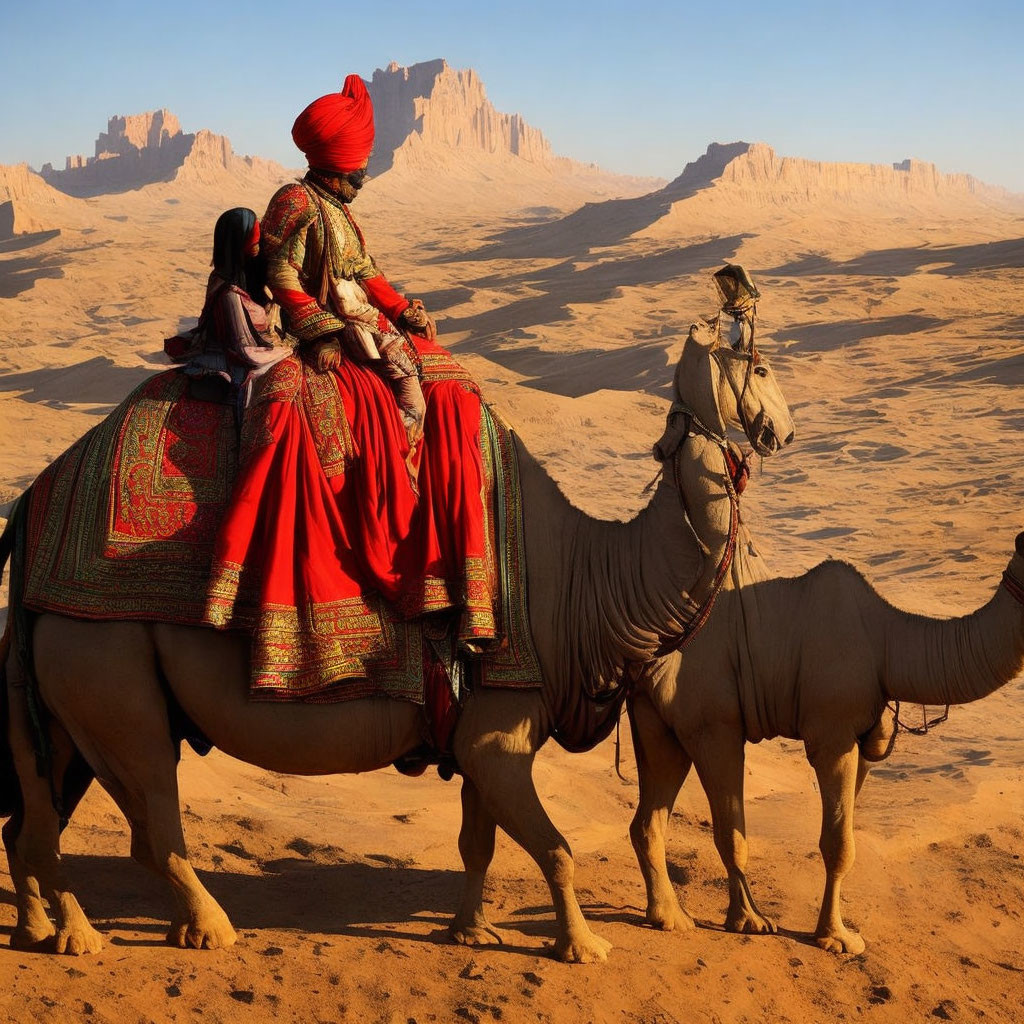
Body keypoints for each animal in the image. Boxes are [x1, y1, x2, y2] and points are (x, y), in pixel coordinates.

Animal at [0, 319, 794, 958]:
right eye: (757, 365)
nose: (781, 432)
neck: (582, 580)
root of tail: (36, 510)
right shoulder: (501, 720)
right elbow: (558, 849)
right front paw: (583, 947)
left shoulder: (473, 728)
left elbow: (478, 842)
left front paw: (471, 931)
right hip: (108, 658)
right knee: (145, 815)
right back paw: (153, 935)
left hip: (70, 682)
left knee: (38, 809)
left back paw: (42, 930)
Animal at [622, 536, 1024, 950]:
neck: (885, 641)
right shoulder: (833, 735)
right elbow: (838, 845)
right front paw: (835, 938)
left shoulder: (862, 740)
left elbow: (845, 832)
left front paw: (835, 930)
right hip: (710, 719)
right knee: (727, 809)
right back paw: (749, 920)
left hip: (653, 712)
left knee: (650, 812)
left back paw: (669, 917)